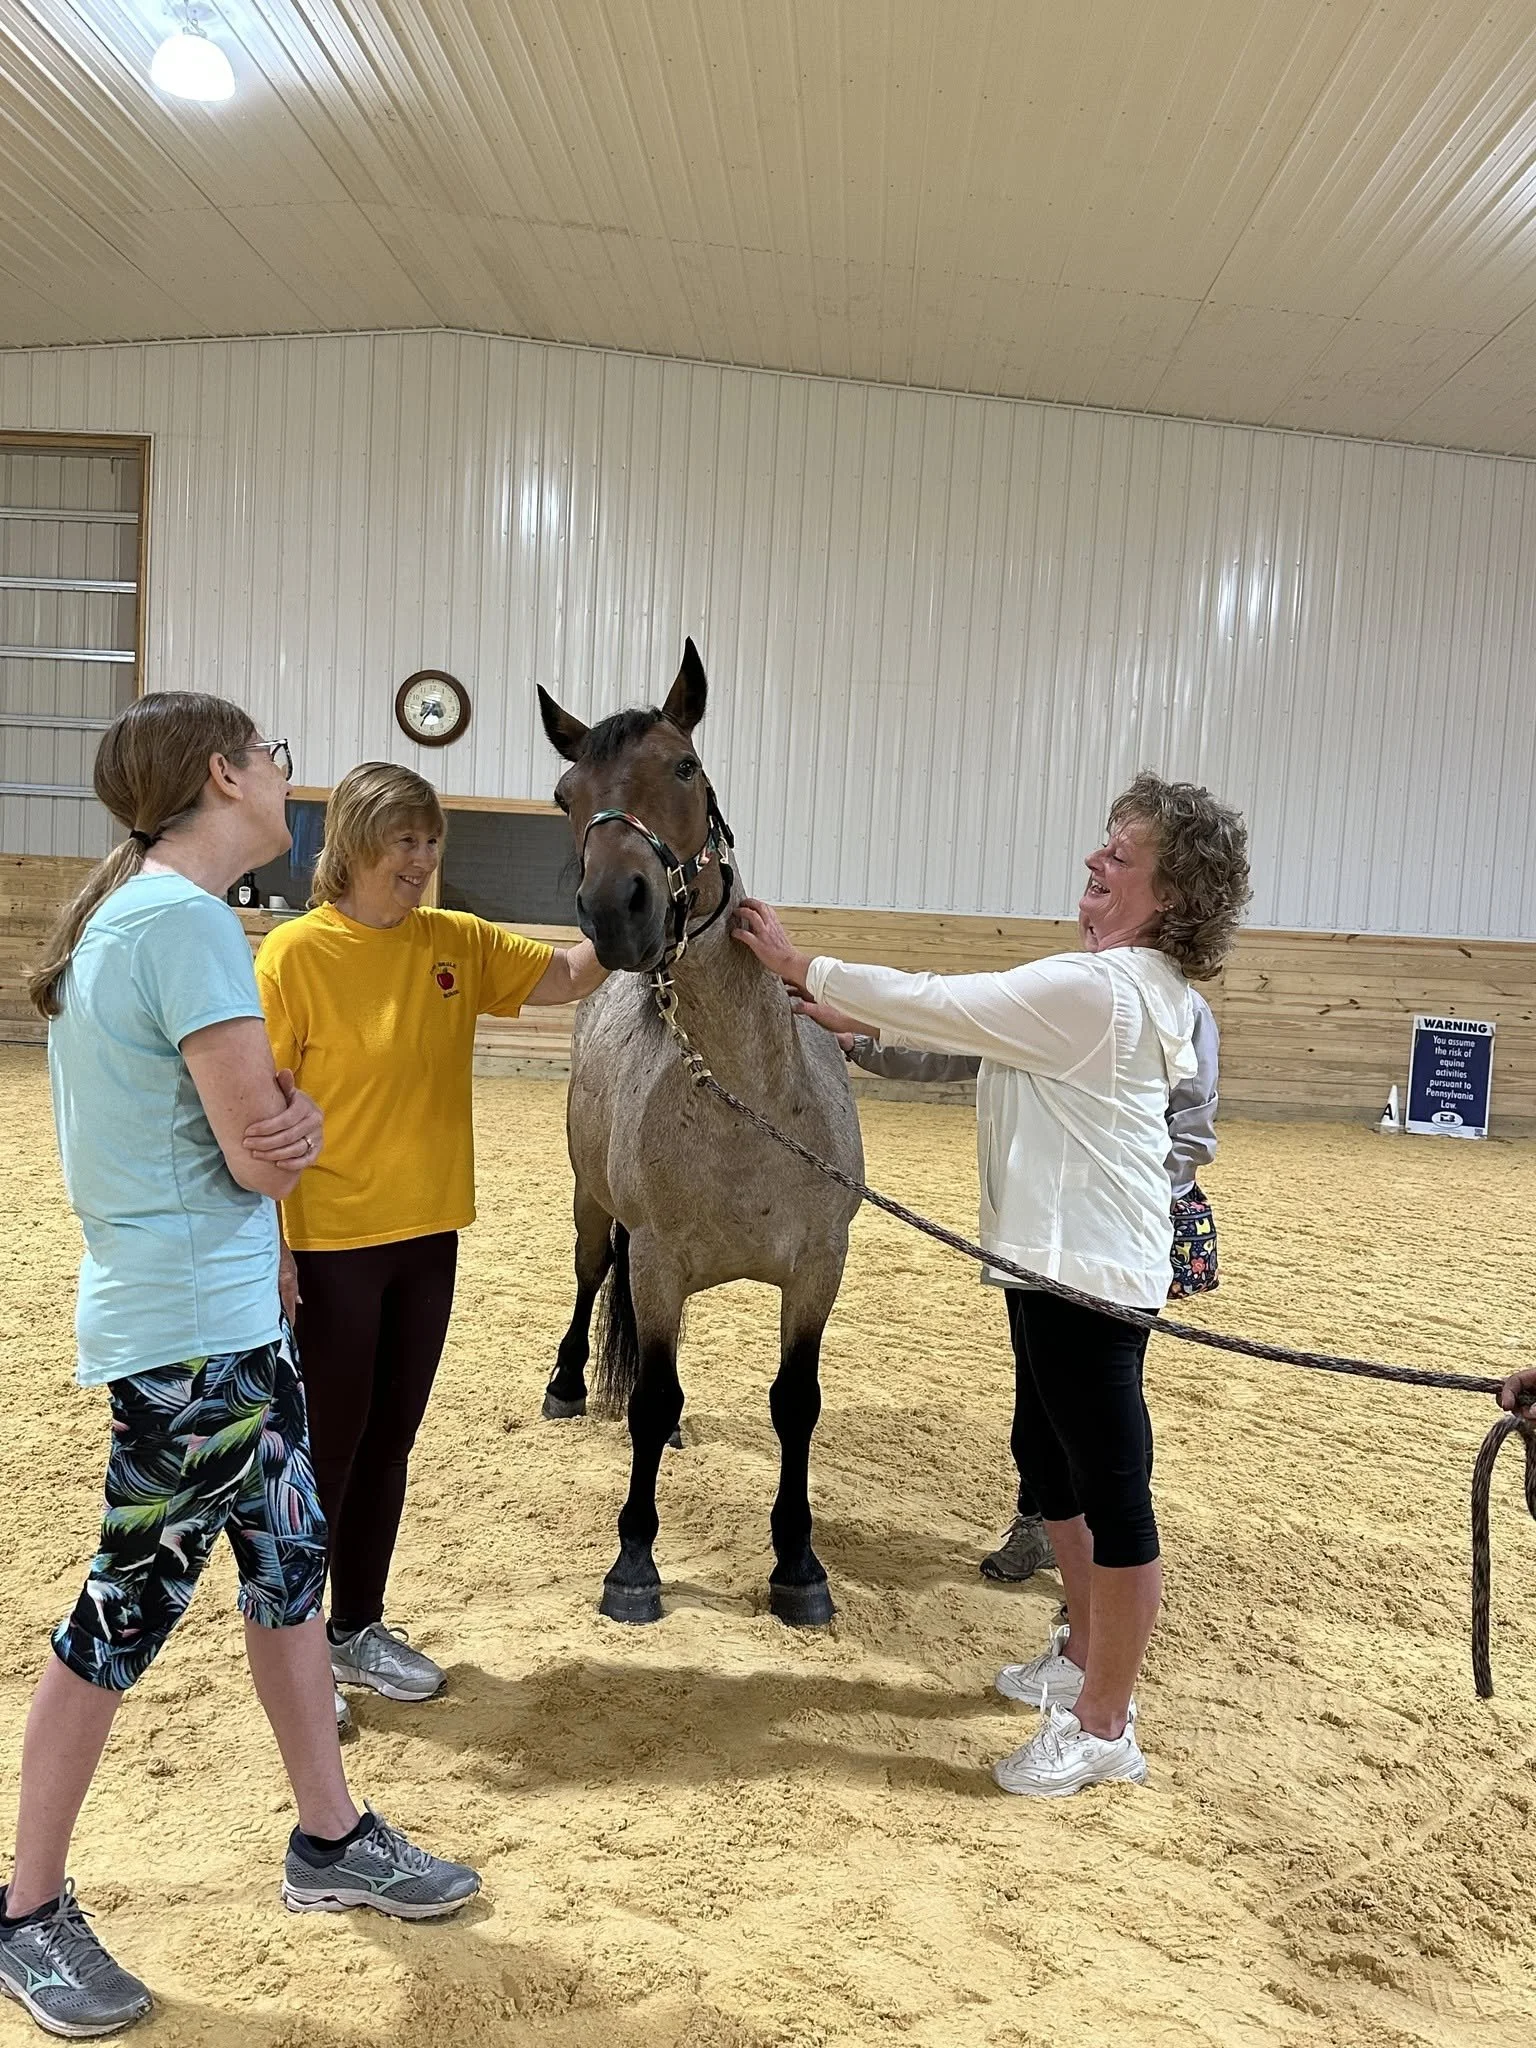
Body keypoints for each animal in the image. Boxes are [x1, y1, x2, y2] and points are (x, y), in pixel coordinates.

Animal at [535, 640, 864, 1626]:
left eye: (684, 766)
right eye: (565, 794)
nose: (617, 910)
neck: (748, 1100)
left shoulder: (817, 1269)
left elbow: (796, 1404)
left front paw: (798, 1562)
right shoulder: (655, 1260)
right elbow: (645, 1399)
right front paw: (633, 1562)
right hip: (594, 1211)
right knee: (589, 1281)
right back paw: (566, 1385)